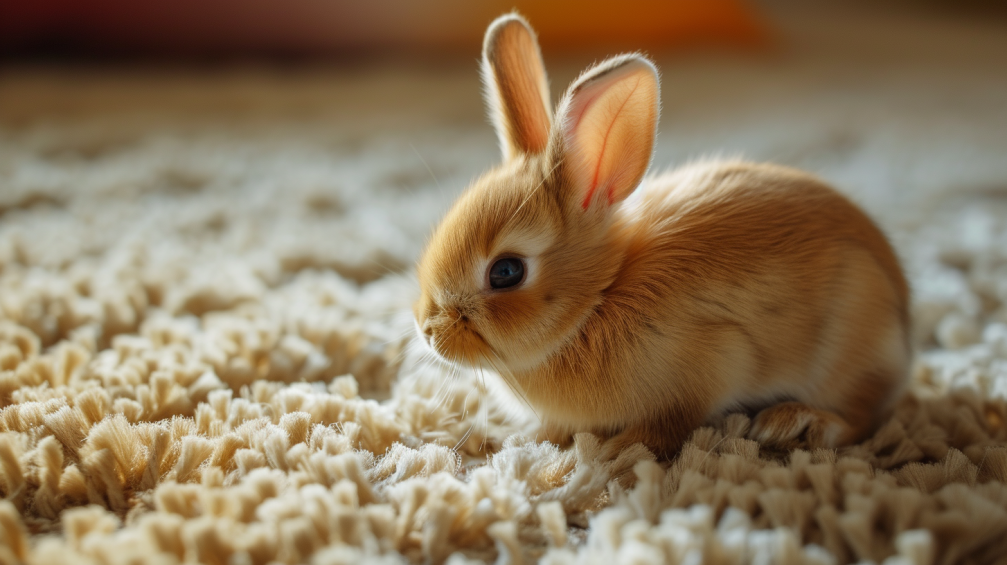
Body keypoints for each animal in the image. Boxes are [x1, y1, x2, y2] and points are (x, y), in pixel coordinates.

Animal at [413, 13, 910, 459]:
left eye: (506, 272)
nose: (428, 331)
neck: (599, 299)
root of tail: (902, 314)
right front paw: (530, 437)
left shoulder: (709, 365)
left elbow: (671, 424)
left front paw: (620, 451)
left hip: (849, 342)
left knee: (863, 417)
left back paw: (797, 423)